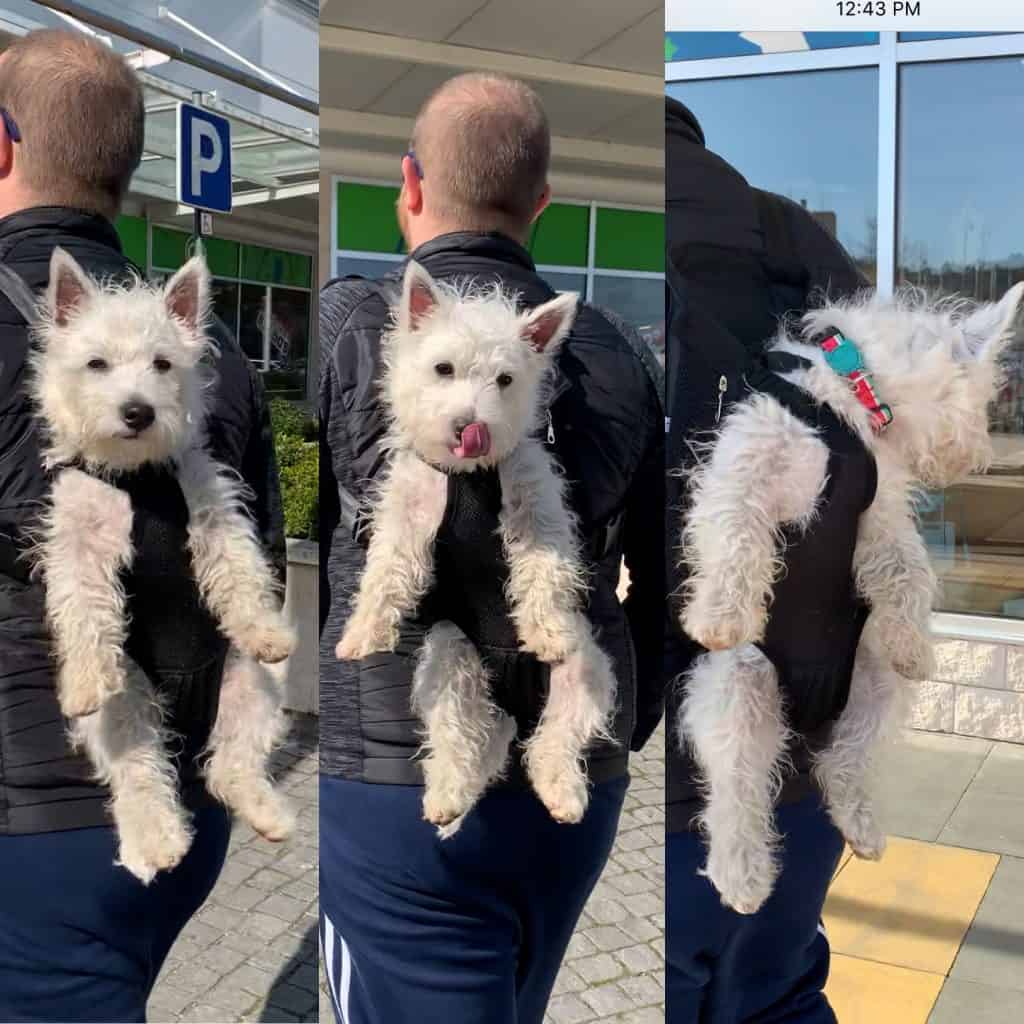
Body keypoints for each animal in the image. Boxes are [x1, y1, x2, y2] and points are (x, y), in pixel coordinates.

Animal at [27, 245, 296, 880]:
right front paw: (81, 677)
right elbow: (84, 608)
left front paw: (264, 627)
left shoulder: (213, 505)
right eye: (96, 363)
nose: (137, 411)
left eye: (163, 364)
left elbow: (239, 569)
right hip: (126, 703)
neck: (137, 477)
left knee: (231, 763)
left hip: (250, 682)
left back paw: (268, 814)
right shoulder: (77, 541)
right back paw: (157, 841)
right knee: (140, 773)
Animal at [335, 262, 614, 823]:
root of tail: (512, 708)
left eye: (505, 380)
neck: (468, 476)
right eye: (443, 369)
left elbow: (543, 568)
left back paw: (562, 793)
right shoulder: (409, 510)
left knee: (554, 741)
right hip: (449, 656)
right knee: (461, 734)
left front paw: (545, 630)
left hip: (586, 674)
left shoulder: (537, 506)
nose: (471, 425)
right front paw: (363, 632)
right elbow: (386, 568)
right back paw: (448, 794)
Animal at [675, 280, 1019, 913]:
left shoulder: (878, 518)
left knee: (845, 759)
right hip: (738, 686)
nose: (980, 457)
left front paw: (915, 644)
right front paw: (720, 614)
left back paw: (859, 823)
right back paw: (742, 874)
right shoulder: (747, 465)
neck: (846, 401)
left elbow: (909, 570)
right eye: (987, 397)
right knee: (738, 791)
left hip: (874, 682)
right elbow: (736, 533)